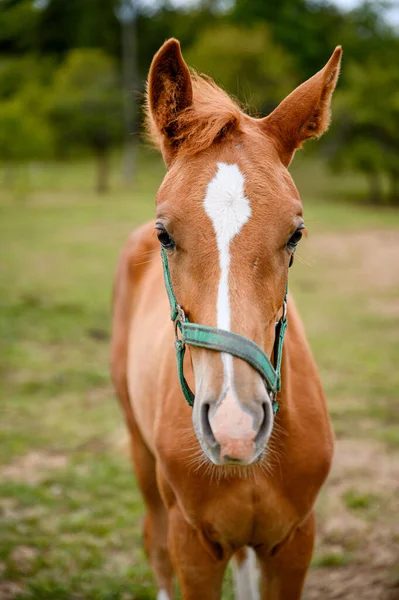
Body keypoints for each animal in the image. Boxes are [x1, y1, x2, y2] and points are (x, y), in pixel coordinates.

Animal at [111, 38, 342, 600]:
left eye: (296, 233)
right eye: (165, 234)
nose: (235, 424)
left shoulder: (294, 543)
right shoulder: (194, 546)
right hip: (141, 459)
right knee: (153, 543)